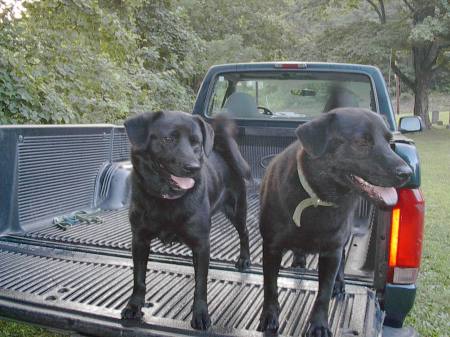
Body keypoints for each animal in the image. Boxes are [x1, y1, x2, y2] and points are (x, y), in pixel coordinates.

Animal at [121, 109, 251, 328]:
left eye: (196, 142)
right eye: (168, 139)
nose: (193, 167)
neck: (166, 197)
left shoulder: (201, 244)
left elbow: (201, 284)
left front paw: (200, 314)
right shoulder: (139, 240)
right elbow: (138, 279)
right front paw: (134, 306)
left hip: (237, 211)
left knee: (245, 233)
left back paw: (245, 259)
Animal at [256, 108, 412, 336]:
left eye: (389, 140)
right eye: (361, 142)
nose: (407, 173)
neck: (318, 197)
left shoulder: (331, 252)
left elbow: (324, 293)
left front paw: (319, 324)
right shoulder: (271, 248)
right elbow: (270, 286)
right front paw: (269, 315)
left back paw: (338, 282)